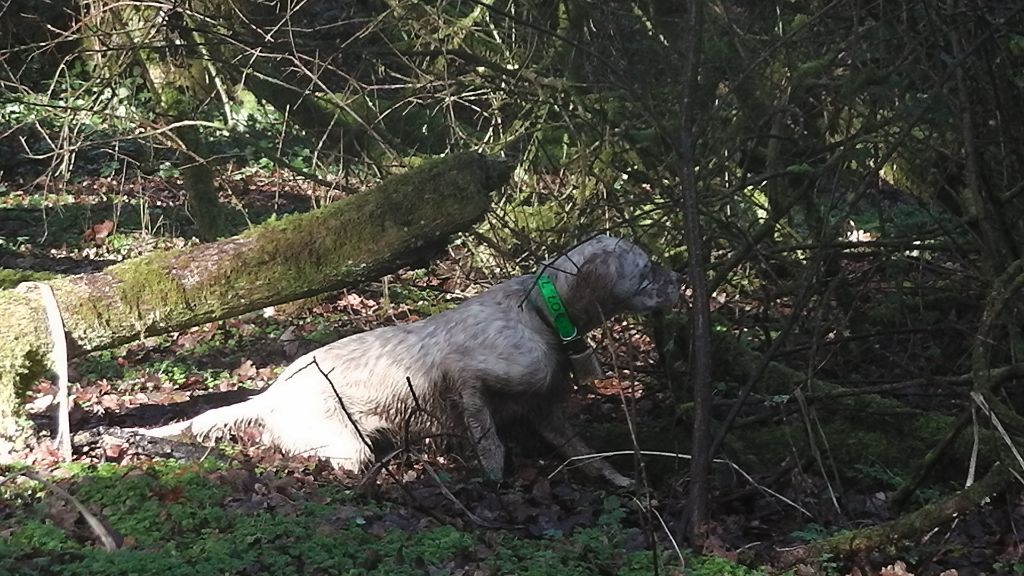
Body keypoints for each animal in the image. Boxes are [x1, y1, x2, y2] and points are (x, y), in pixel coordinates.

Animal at [149, 234, 679, 483]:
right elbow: (490, 441)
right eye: (647, 268)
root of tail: (272, 392)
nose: (680, 280)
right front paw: (493, 478)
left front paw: (620, 479)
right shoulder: (467, 376)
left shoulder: (546, 409)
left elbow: (588, 454)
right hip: (346, 446)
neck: (542, 313)